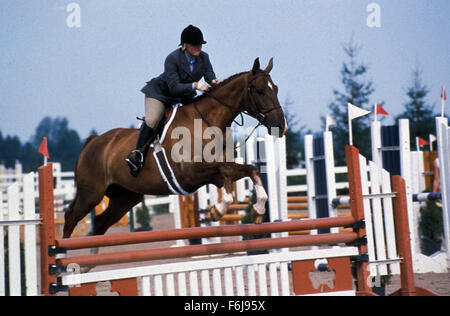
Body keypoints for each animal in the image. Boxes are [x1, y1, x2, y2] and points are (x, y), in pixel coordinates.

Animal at [62, 58, 288, 238]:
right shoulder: (190, 175)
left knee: (101, 222)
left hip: (125, 197)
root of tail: (93, 141)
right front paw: (218, 209)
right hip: (91, 193)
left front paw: (258, 208)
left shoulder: (215, 172)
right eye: (260, 91)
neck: (206, 122)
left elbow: (249, 169)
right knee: (71, 216)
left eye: (276, 89)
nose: (282, 126)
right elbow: (225, 173)